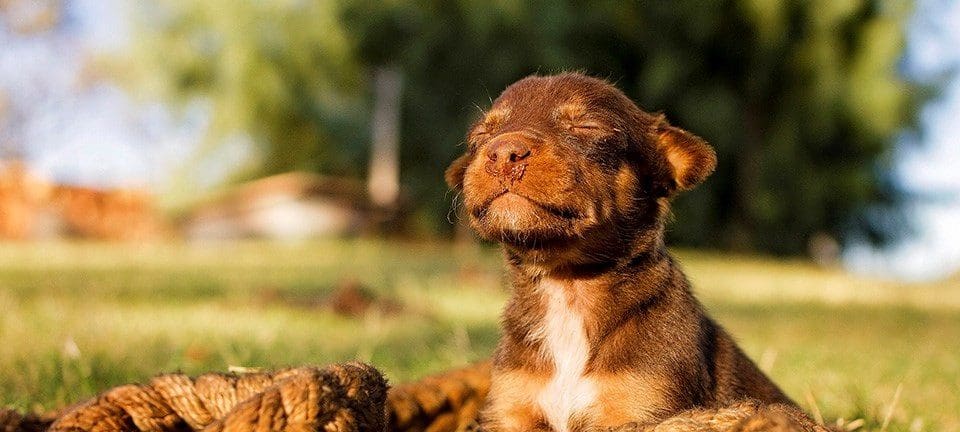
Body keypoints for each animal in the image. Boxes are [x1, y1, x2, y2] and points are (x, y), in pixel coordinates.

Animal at [446, 74, 812, 432]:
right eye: (481, 135)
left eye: (587, 126)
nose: (503, 152)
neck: (567, 284)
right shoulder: (510, 406)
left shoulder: (640, 405)